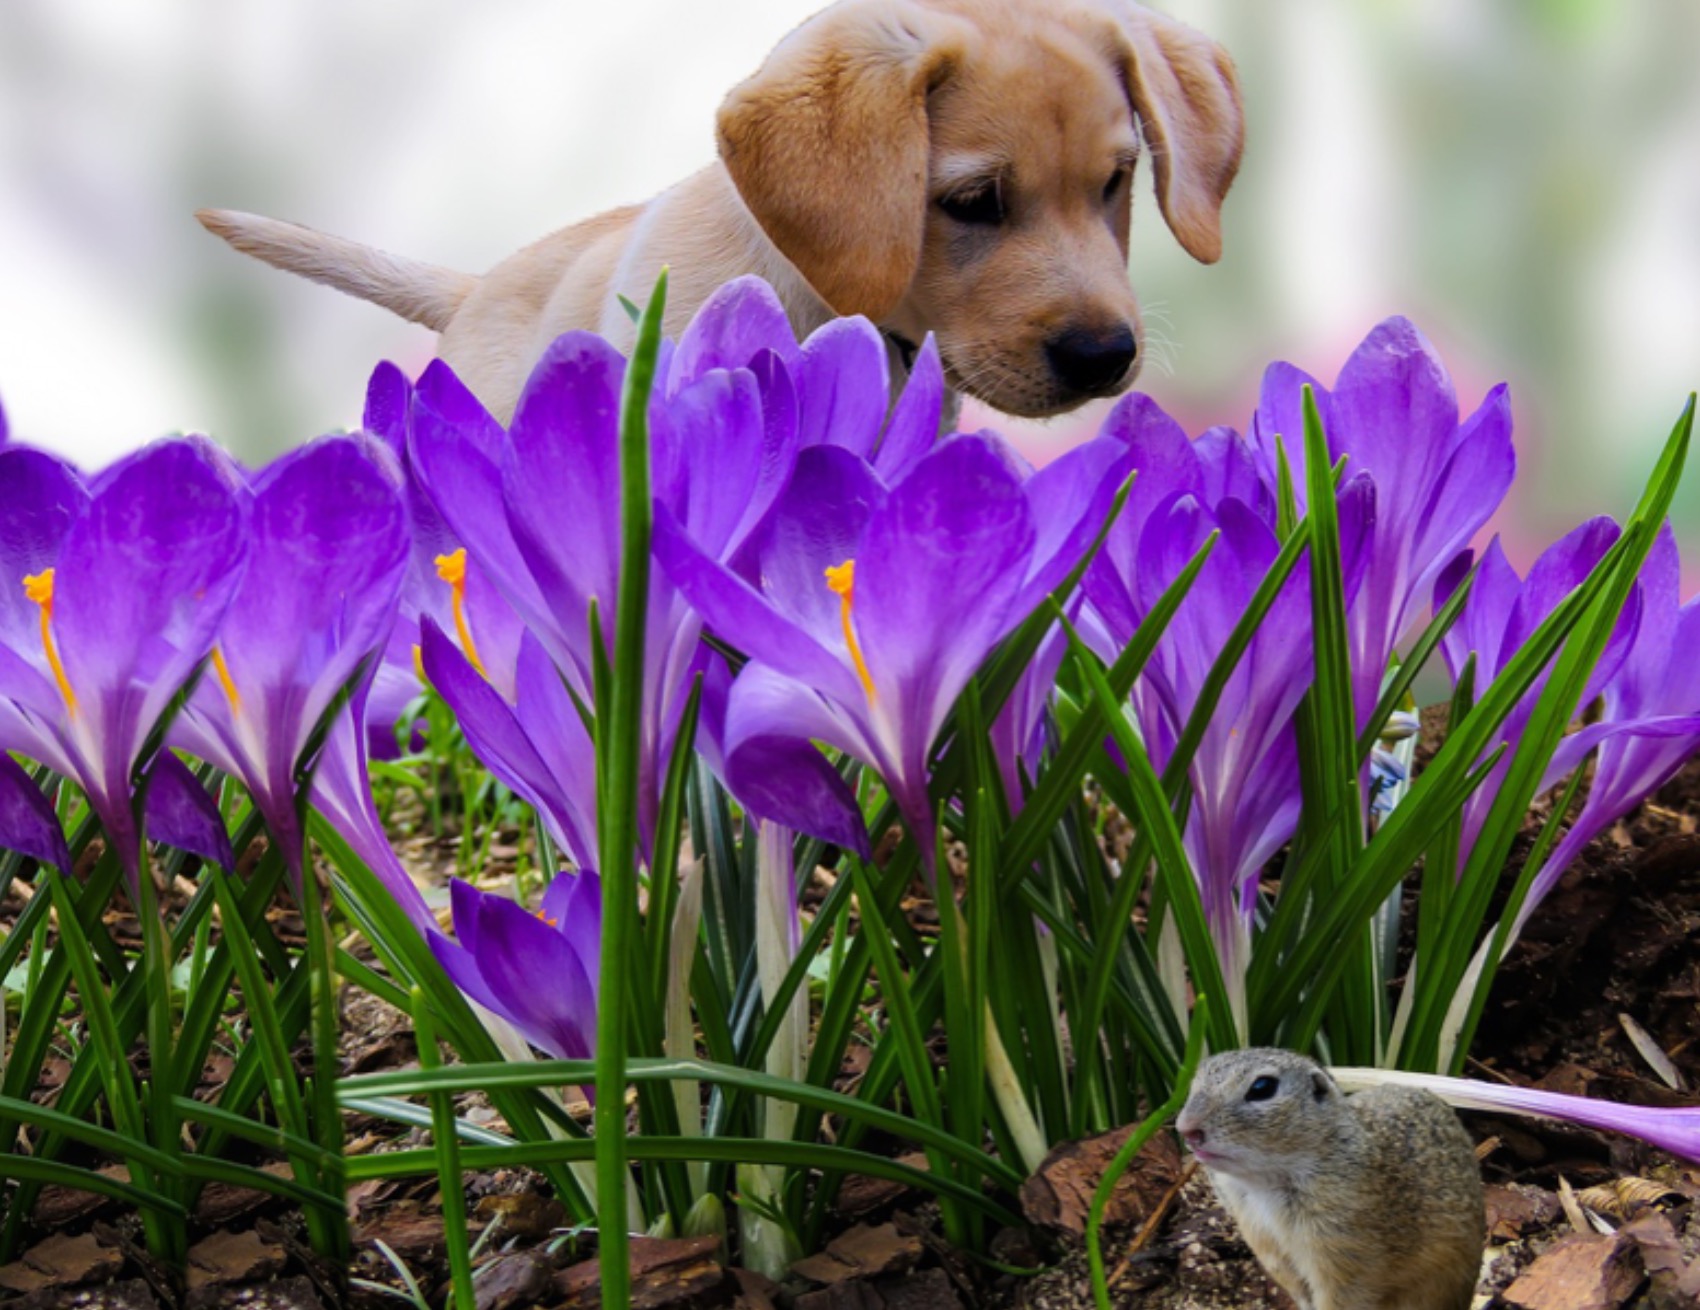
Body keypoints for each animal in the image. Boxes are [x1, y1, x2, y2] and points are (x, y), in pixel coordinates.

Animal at [1176, 1053, 1482, 1310]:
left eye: (1262, 1087)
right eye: (1194, 1081)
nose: (1185, 1129)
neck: (1264, 1185)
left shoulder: (1344, 1251)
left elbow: (1342, 1296)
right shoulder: (1260, 1235)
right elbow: (1291, 1281)